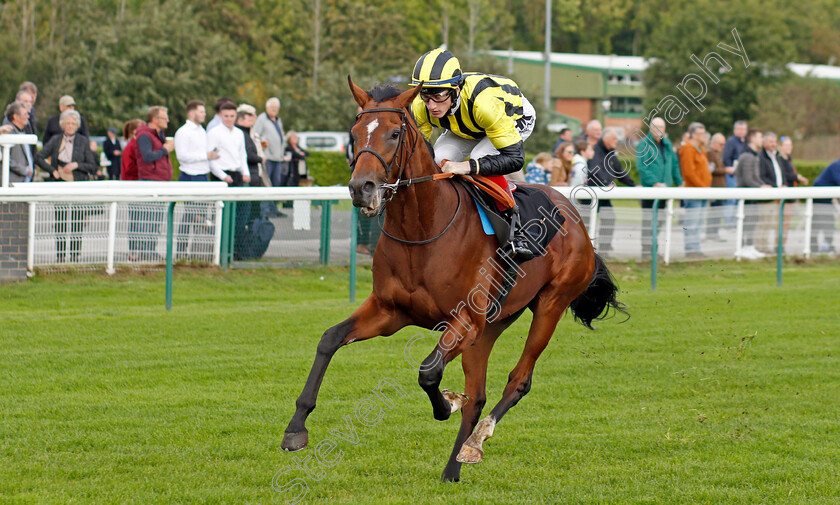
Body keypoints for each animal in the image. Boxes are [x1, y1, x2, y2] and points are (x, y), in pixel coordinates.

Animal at [282, 78, 624, 480]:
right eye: (353, 134)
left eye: (395, 133)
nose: (361, 187)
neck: (422, 230)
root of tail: (575, 217)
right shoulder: (390, 312)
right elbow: (330, 339)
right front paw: (295, 428)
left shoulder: (463, 322)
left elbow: (429, 372)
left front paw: (445, 405)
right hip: (492, 324)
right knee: (478, 395)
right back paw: (454, 466)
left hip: (549, 305)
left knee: (518, 380)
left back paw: (476, 441)